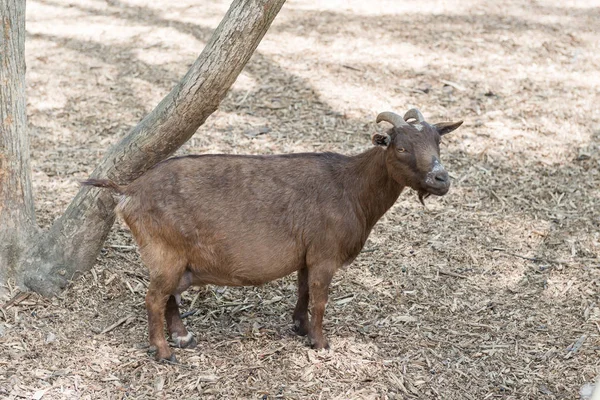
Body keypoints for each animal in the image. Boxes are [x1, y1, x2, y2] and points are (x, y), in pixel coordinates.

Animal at [82, 108, 462, 360]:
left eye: (438, 144)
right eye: (401, 147)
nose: (441, 179)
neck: (351, 187)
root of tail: (129, 190)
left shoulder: (308, 256)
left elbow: (304, 291)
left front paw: (300, 327)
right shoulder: (325, 254)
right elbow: (320, 299)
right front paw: (321, 343)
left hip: (175, 259)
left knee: (169, 297)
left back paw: (184, 338)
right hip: (165, 252)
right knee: (153, 298)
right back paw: (163, 352)